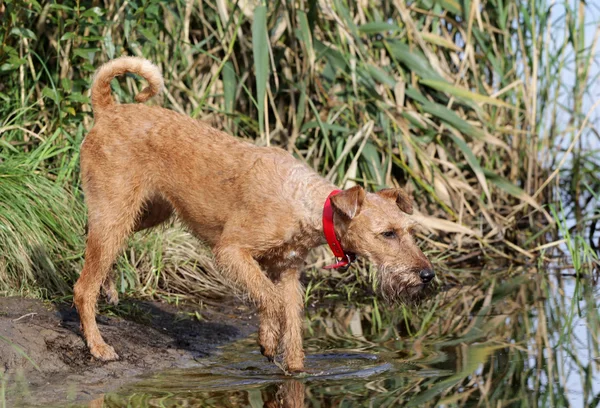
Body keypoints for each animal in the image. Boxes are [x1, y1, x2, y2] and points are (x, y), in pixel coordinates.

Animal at [72, 57, 434, 372]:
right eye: (387, 233)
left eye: (409, 230)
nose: (428, 275)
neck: (304, 203)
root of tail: (108, 110)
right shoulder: (232, 251)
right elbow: (269, 300)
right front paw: (268, 340)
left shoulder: (287, 273)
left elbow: (292, 325)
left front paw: (295, 369)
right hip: (117, 213)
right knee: (82, 287)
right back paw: (99, 346)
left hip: (141, 213)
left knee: (92, 242)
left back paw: (109, 287)